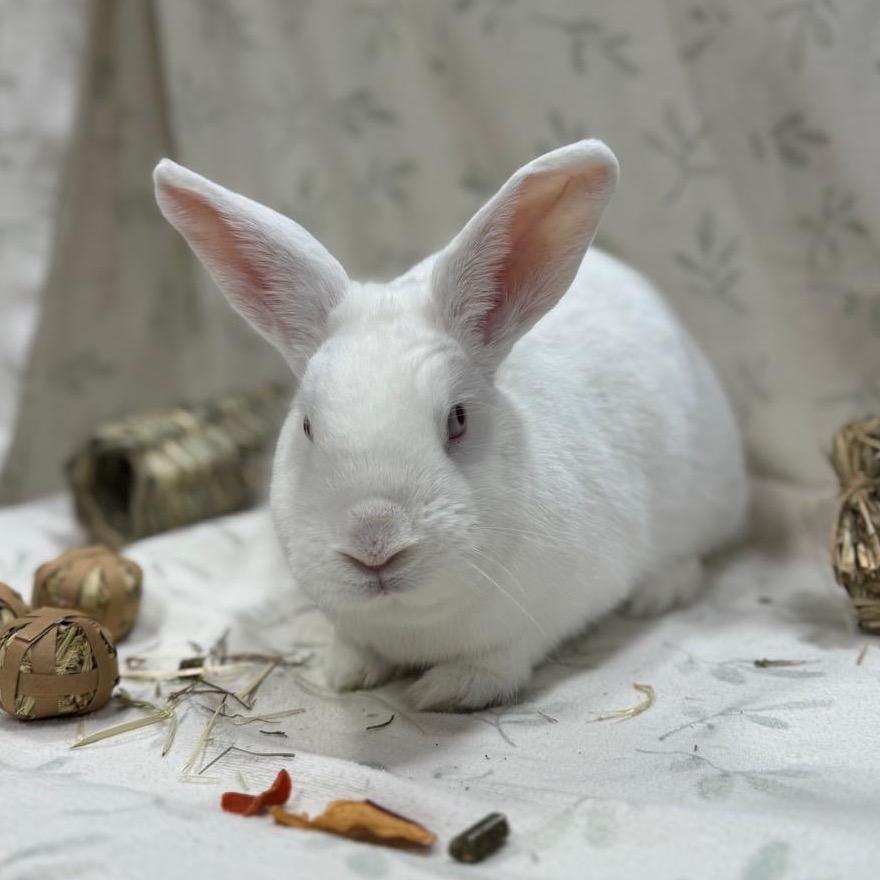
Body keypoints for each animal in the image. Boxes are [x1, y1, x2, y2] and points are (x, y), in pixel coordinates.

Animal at [153, 140, 747, 711]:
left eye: (457, 420)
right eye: (307, 427)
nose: (374, 543)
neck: (412, 621)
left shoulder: (548, 614)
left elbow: (502, 658)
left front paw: (449, 690)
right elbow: (354, 647)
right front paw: (345, 673)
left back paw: (660, 591)